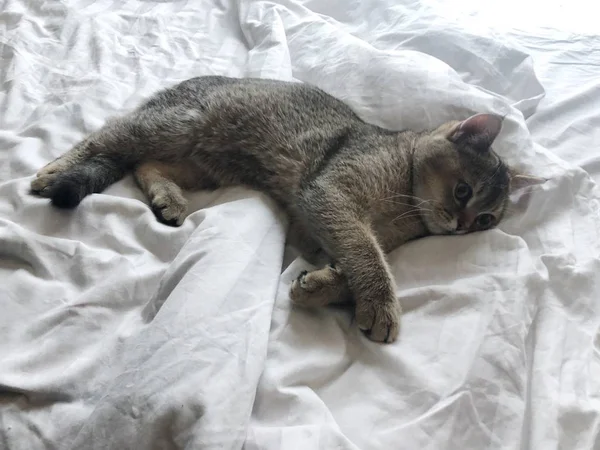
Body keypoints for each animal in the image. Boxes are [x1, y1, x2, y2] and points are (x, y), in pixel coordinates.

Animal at [29, 76, 544, 344]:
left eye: (486, 220)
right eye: (463, 191)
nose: (462, 226)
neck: (404, 205)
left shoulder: (324, 225)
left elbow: (359, 261)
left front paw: (321, 286)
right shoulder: (330, 196)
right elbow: (368, 256)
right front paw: (380, 305)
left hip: (203, 165)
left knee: (145, 165)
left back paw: (167, 198)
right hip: (175, 125)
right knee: (108, 136)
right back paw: (52, 172)